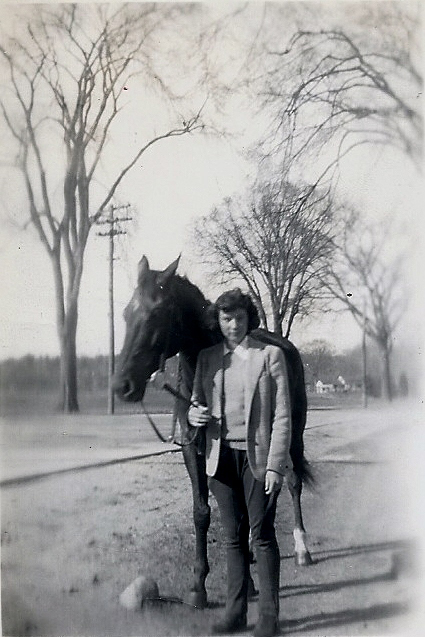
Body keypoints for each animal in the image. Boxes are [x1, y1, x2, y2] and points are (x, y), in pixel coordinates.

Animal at [112, 253, 312, 608]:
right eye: (125, 313)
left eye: (157, 313)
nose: (122, 386)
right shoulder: (193, 450)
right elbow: (202, 512)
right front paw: (198, 586)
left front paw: (245, 583)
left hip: (292, 437)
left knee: (291, 483)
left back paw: (302, 548)